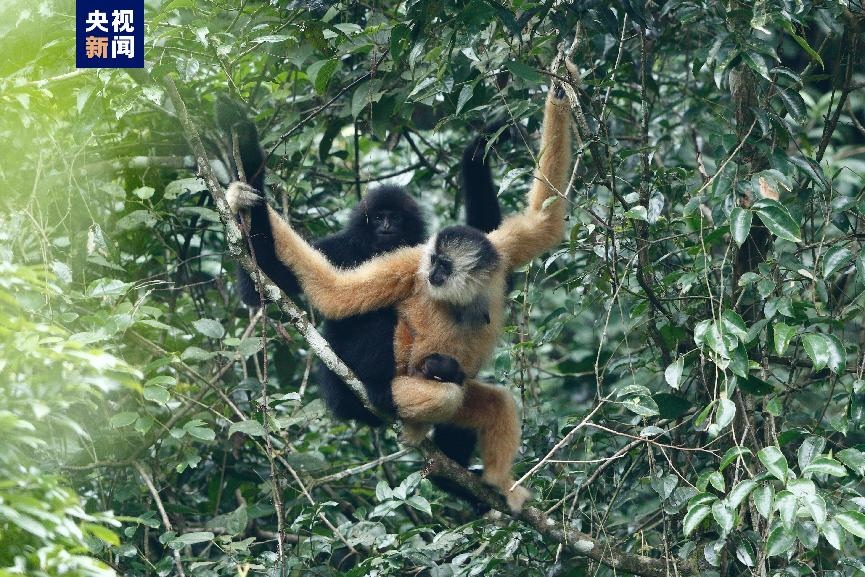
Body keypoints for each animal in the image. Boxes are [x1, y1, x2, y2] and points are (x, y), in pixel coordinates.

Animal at [225, 74, 573, 511]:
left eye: (444, 263)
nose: (432, 271)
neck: (465, 294)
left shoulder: (501, 253)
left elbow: (545, 219)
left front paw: (557, 91)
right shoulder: (409, 264)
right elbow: (334, 293)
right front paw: (245, 190)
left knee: (493, 402)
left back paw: (492, 483)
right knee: (438, 386)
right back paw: (397, 405)